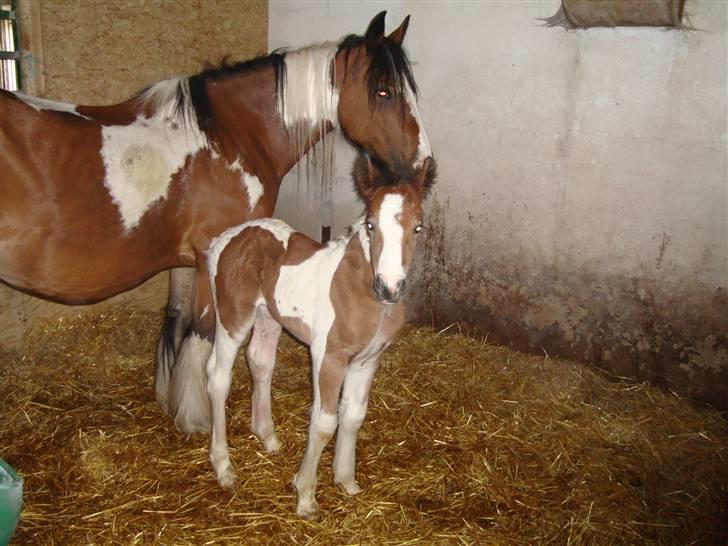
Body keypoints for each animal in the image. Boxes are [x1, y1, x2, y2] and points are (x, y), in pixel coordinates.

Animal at [202, 155, 436, 516]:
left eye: (418, 227)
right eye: (371, 225)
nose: (389, 288)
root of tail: (227, 238)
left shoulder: (367, 361)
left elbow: (352, 416)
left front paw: (346, 480)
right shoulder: (329, 357)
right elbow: (325, 422)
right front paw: (306, 495)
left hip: (268, 316)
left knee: (260, 362)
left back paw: (268, 437)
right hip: (232, 318)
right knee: (217, 379)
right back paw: (224, 468)